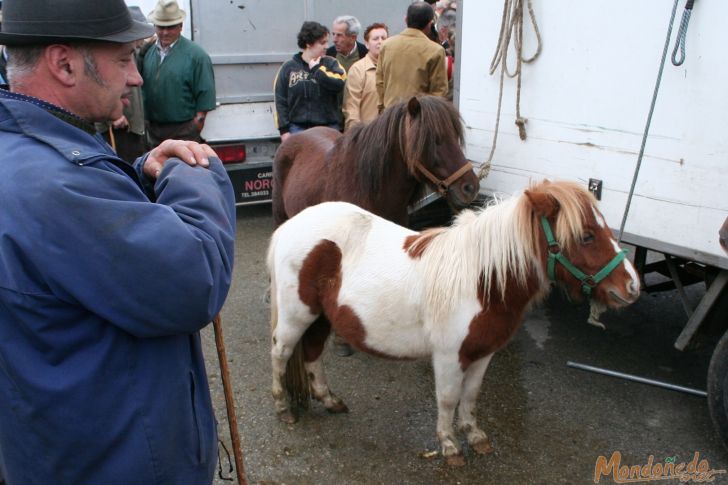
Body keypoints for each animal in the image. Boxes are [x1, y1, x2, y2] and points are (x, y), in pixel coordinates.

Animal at [268, 180, 644, 464]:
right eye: (586, 236)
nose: (632, 286)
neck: (483, 281)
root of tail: (291, 225)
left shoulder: (483, 352)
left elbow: (471, 396)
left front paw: (474, 436)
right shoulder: (450, 356)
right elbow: (448, 397)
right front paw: (449, 445)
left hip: (320, 317)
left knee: (313, 354)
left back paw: (330, 400)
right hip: (297, 315)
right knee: (281, 354)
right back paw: (282, 407)